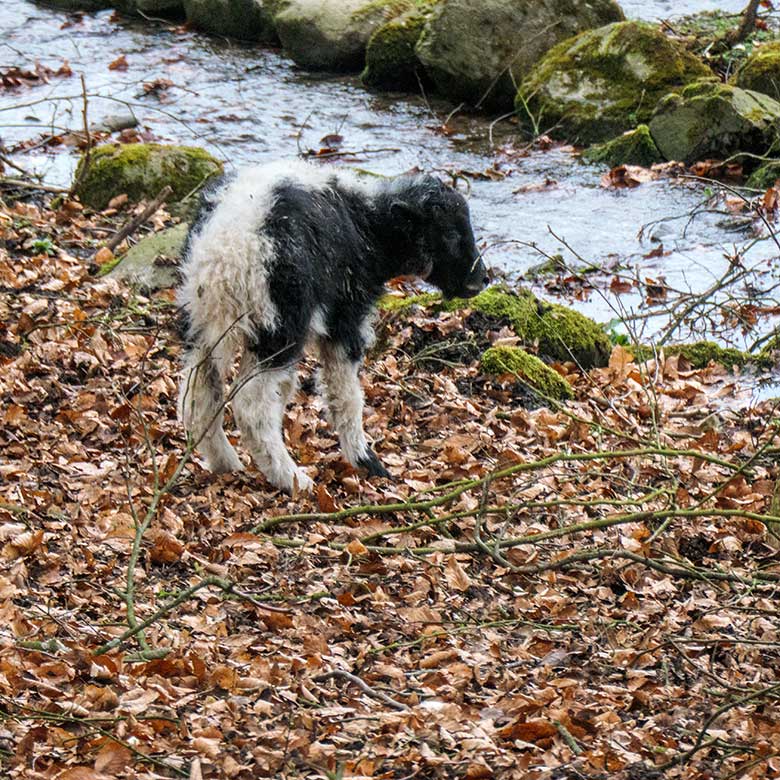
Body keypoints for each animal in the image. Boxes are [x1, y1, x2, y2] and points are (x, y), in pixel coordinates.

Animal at [178, 161, 488, 490]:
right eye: (451, 234)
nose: (483, 278)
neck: (369, 225)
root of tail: (226, 248)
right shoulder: (346, 319)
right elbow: (346, 396)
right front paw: (365, 460)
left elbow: (286, 388)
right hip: (279, 324)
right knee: (251, 406)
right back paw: (292, 478)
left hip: (201, 323)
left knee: (198, 397)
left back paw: (227, 463)